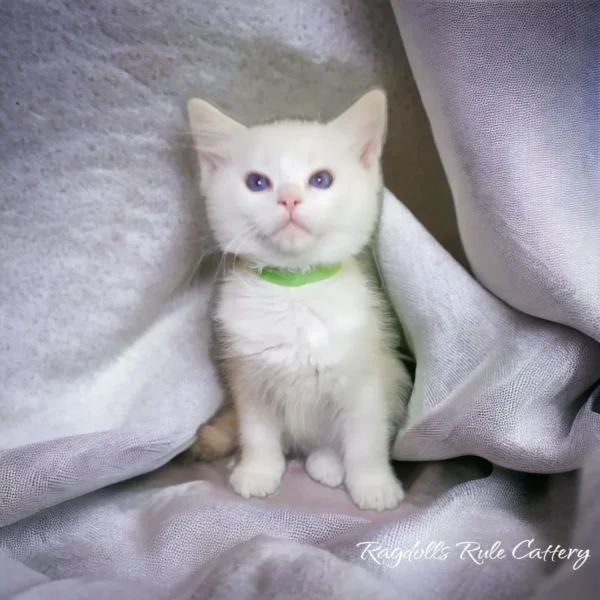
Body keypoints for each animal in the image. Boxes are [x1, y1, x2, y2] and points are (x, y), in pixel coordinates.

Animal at [188, 90, 412, 510]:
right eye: (257, 182)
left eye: (321, 180)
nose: (289, 199)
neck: (294, 288)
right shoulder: (249, 378)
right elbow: (257, 431)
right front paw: (258, 470)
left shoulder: (366, 376)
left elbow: (366, 438)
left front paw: (373, 484)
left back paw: (328, 463)